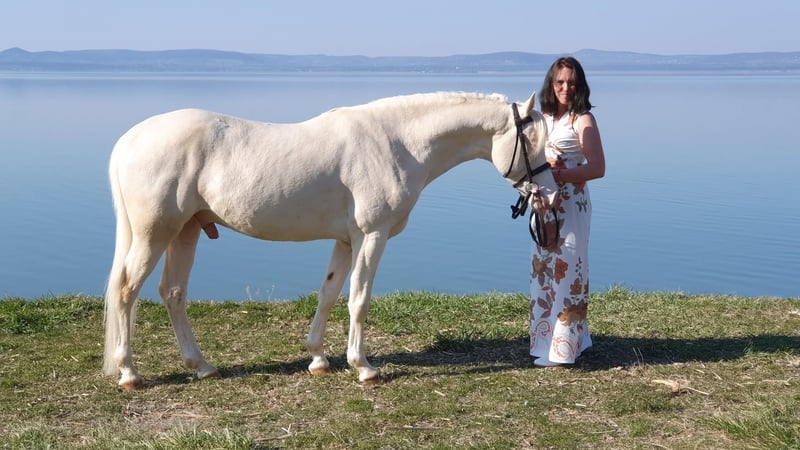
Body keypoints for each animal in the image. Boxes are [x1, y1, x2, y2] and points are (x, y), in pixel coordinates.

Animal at [103, 91, 556, 390]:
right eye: (532, 141)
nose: (548, 192)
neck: (397, 142)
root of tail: (129, 140)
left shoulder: (346, 240)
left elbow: (329, 294)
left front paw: (318, 358)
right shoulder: (372, 235)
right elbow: (359, 299)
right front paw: (364, 366)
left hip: (186, 231)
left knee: (172, 293)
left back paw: (202, 365)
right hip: (155, 233)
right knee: (126, 291)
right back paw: (128, 373)